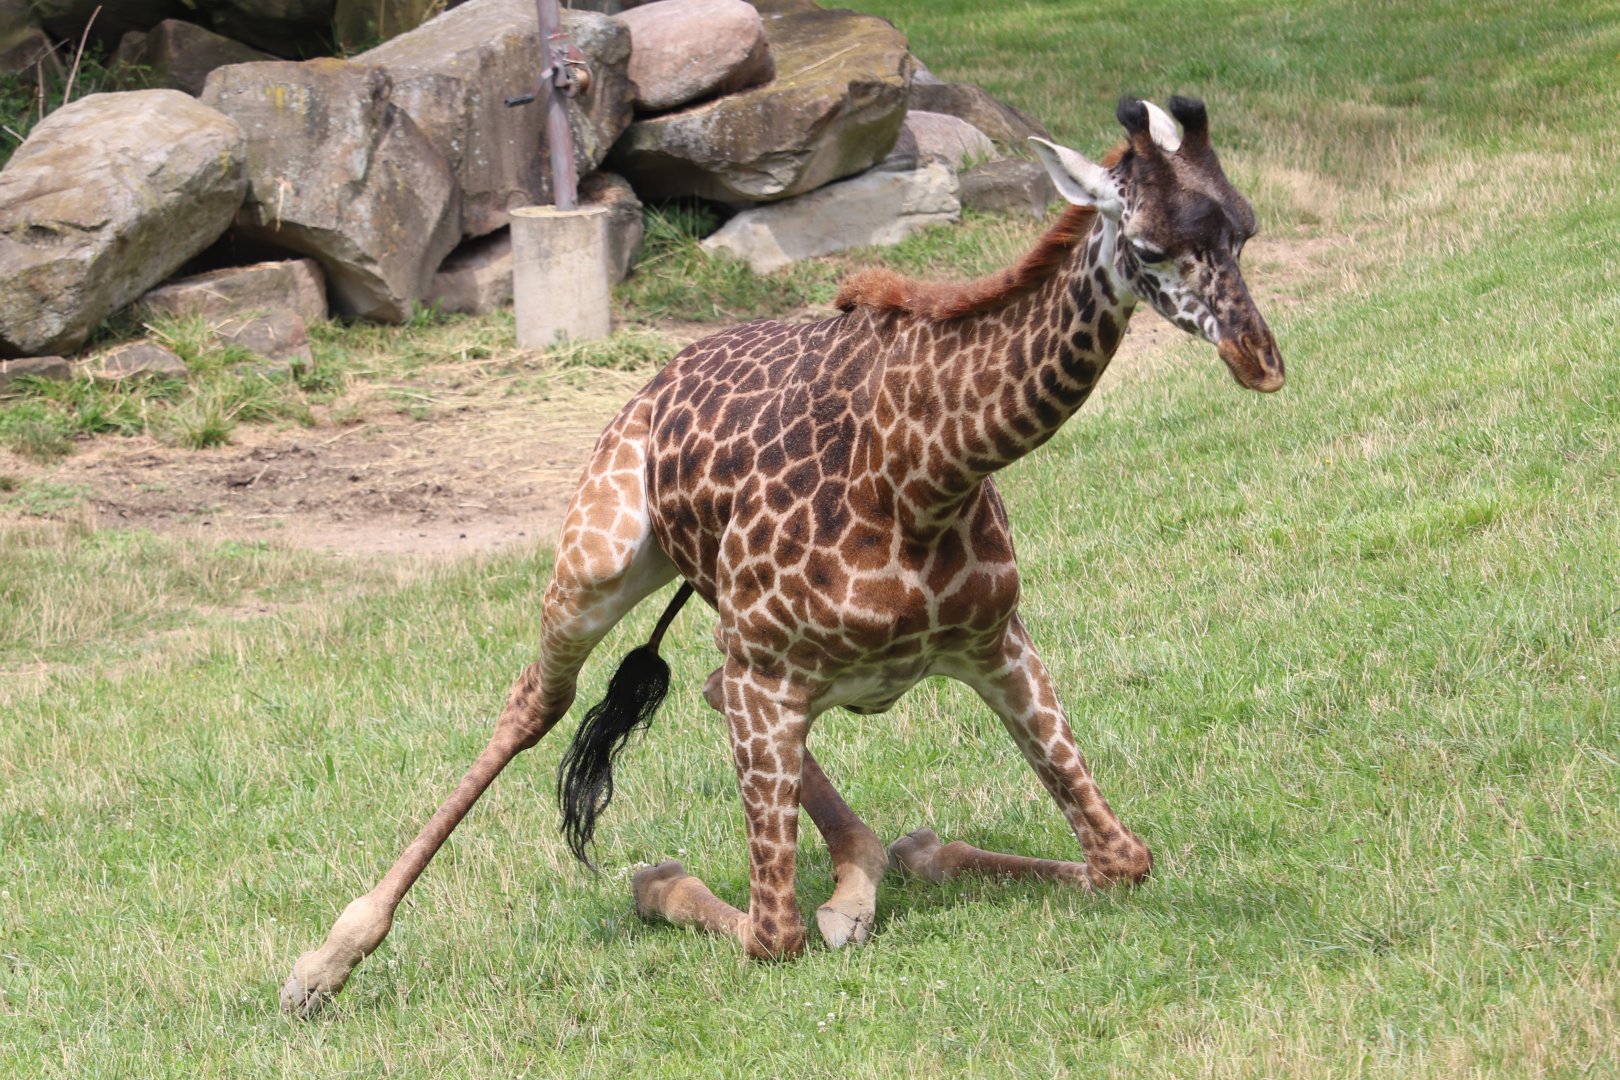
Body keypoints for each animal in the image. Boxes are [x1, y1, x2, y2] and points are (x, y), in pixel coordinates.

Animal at [281, 95, 1284, 1015]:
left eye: (1244, 227)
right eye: (1148, 247)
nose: (1260, 361)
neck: (924, 473)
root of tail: (658, 378)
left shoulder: (998, 645)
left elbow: (1123, 858)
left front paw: (924, 856)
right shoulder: (773, 677)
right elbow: (771, 934)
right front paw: (657, 882)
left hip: (746, 645)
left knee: (713, 698)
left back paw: (865, 883)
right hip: (601, 558)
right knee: (538, 702)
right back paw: (324, 963)